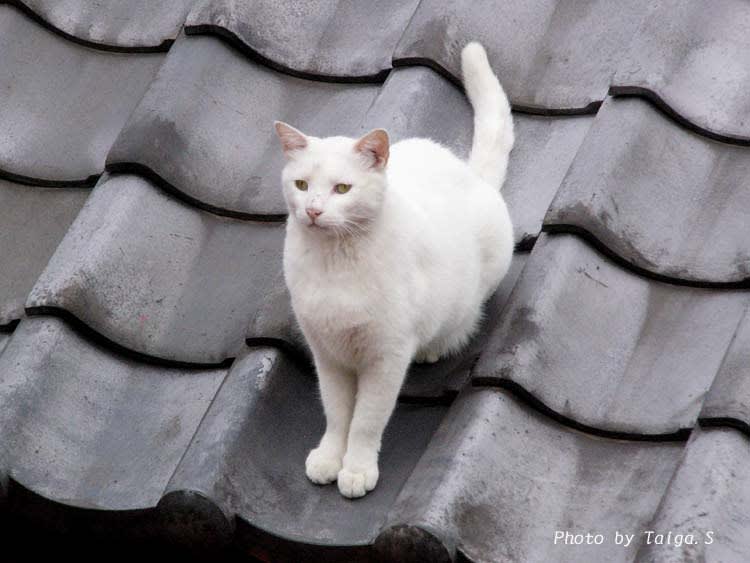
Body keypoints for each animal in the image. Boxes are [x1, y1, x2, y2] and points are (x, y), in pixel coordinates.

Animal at [276, 45, 516, 502]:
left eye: (342, 189)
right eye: (301, 185)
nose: (313, 210)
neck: (335, 264)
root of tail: (468, 174)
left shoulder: (386, 358)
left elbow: (366, 420)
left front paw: (356, 468)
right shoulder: (327, 354)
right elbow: (337, 413)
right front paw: (330, 458)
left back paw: (435, 347)